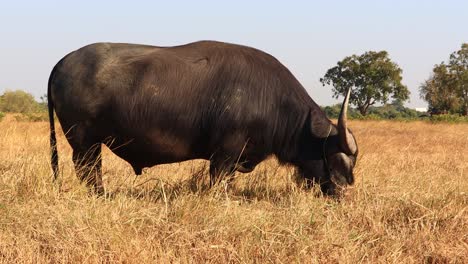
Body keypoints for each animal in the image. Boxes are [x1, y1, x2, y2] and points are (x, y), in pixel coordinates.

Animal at [47, 40, 358, 194]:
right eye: (334, 157)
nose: (343, 191)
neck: (270, 98)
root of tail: (64, 61)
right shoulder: (224, 157)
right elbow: (219, 184)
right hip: (85, 143)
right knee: (88, 170)